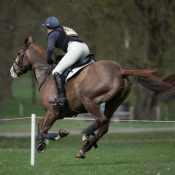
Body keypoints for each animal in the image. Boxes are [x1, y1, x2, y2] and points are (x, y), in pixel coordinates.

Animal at [10, 36, 174, 159]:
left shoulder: (53, 112)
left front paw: (50, 139)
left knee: (101, 120)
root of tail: (121, 70)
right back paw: (84, 149)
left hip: (88, 99)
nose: (13, 71)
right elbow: (40, 125)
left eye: (18, 53)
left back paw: (85, 136)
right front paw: (45, 141)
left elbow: (43, 129)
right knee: (104, 125)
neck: (47, 74)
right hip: (113, 103)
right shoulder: (55, 114)